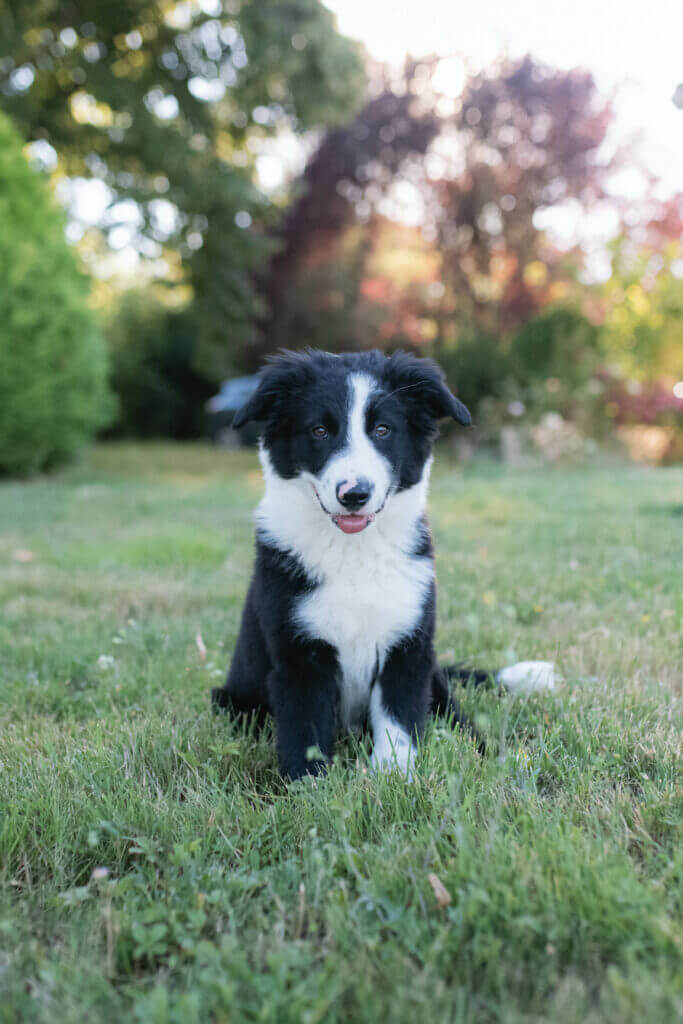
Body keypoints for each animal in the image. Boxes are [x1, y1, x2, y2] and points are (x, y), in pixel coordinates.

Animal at [214, 348, 557, 778]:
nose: (354, 494)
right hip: (234, 701)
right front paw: (307, 786)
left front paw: (395, 776)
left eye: (382, 430)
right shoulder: (298, 655)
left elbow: (398, 720)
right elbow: (304, 734)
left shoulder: (408, 646)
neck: (354, 552)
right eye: (319, 431)